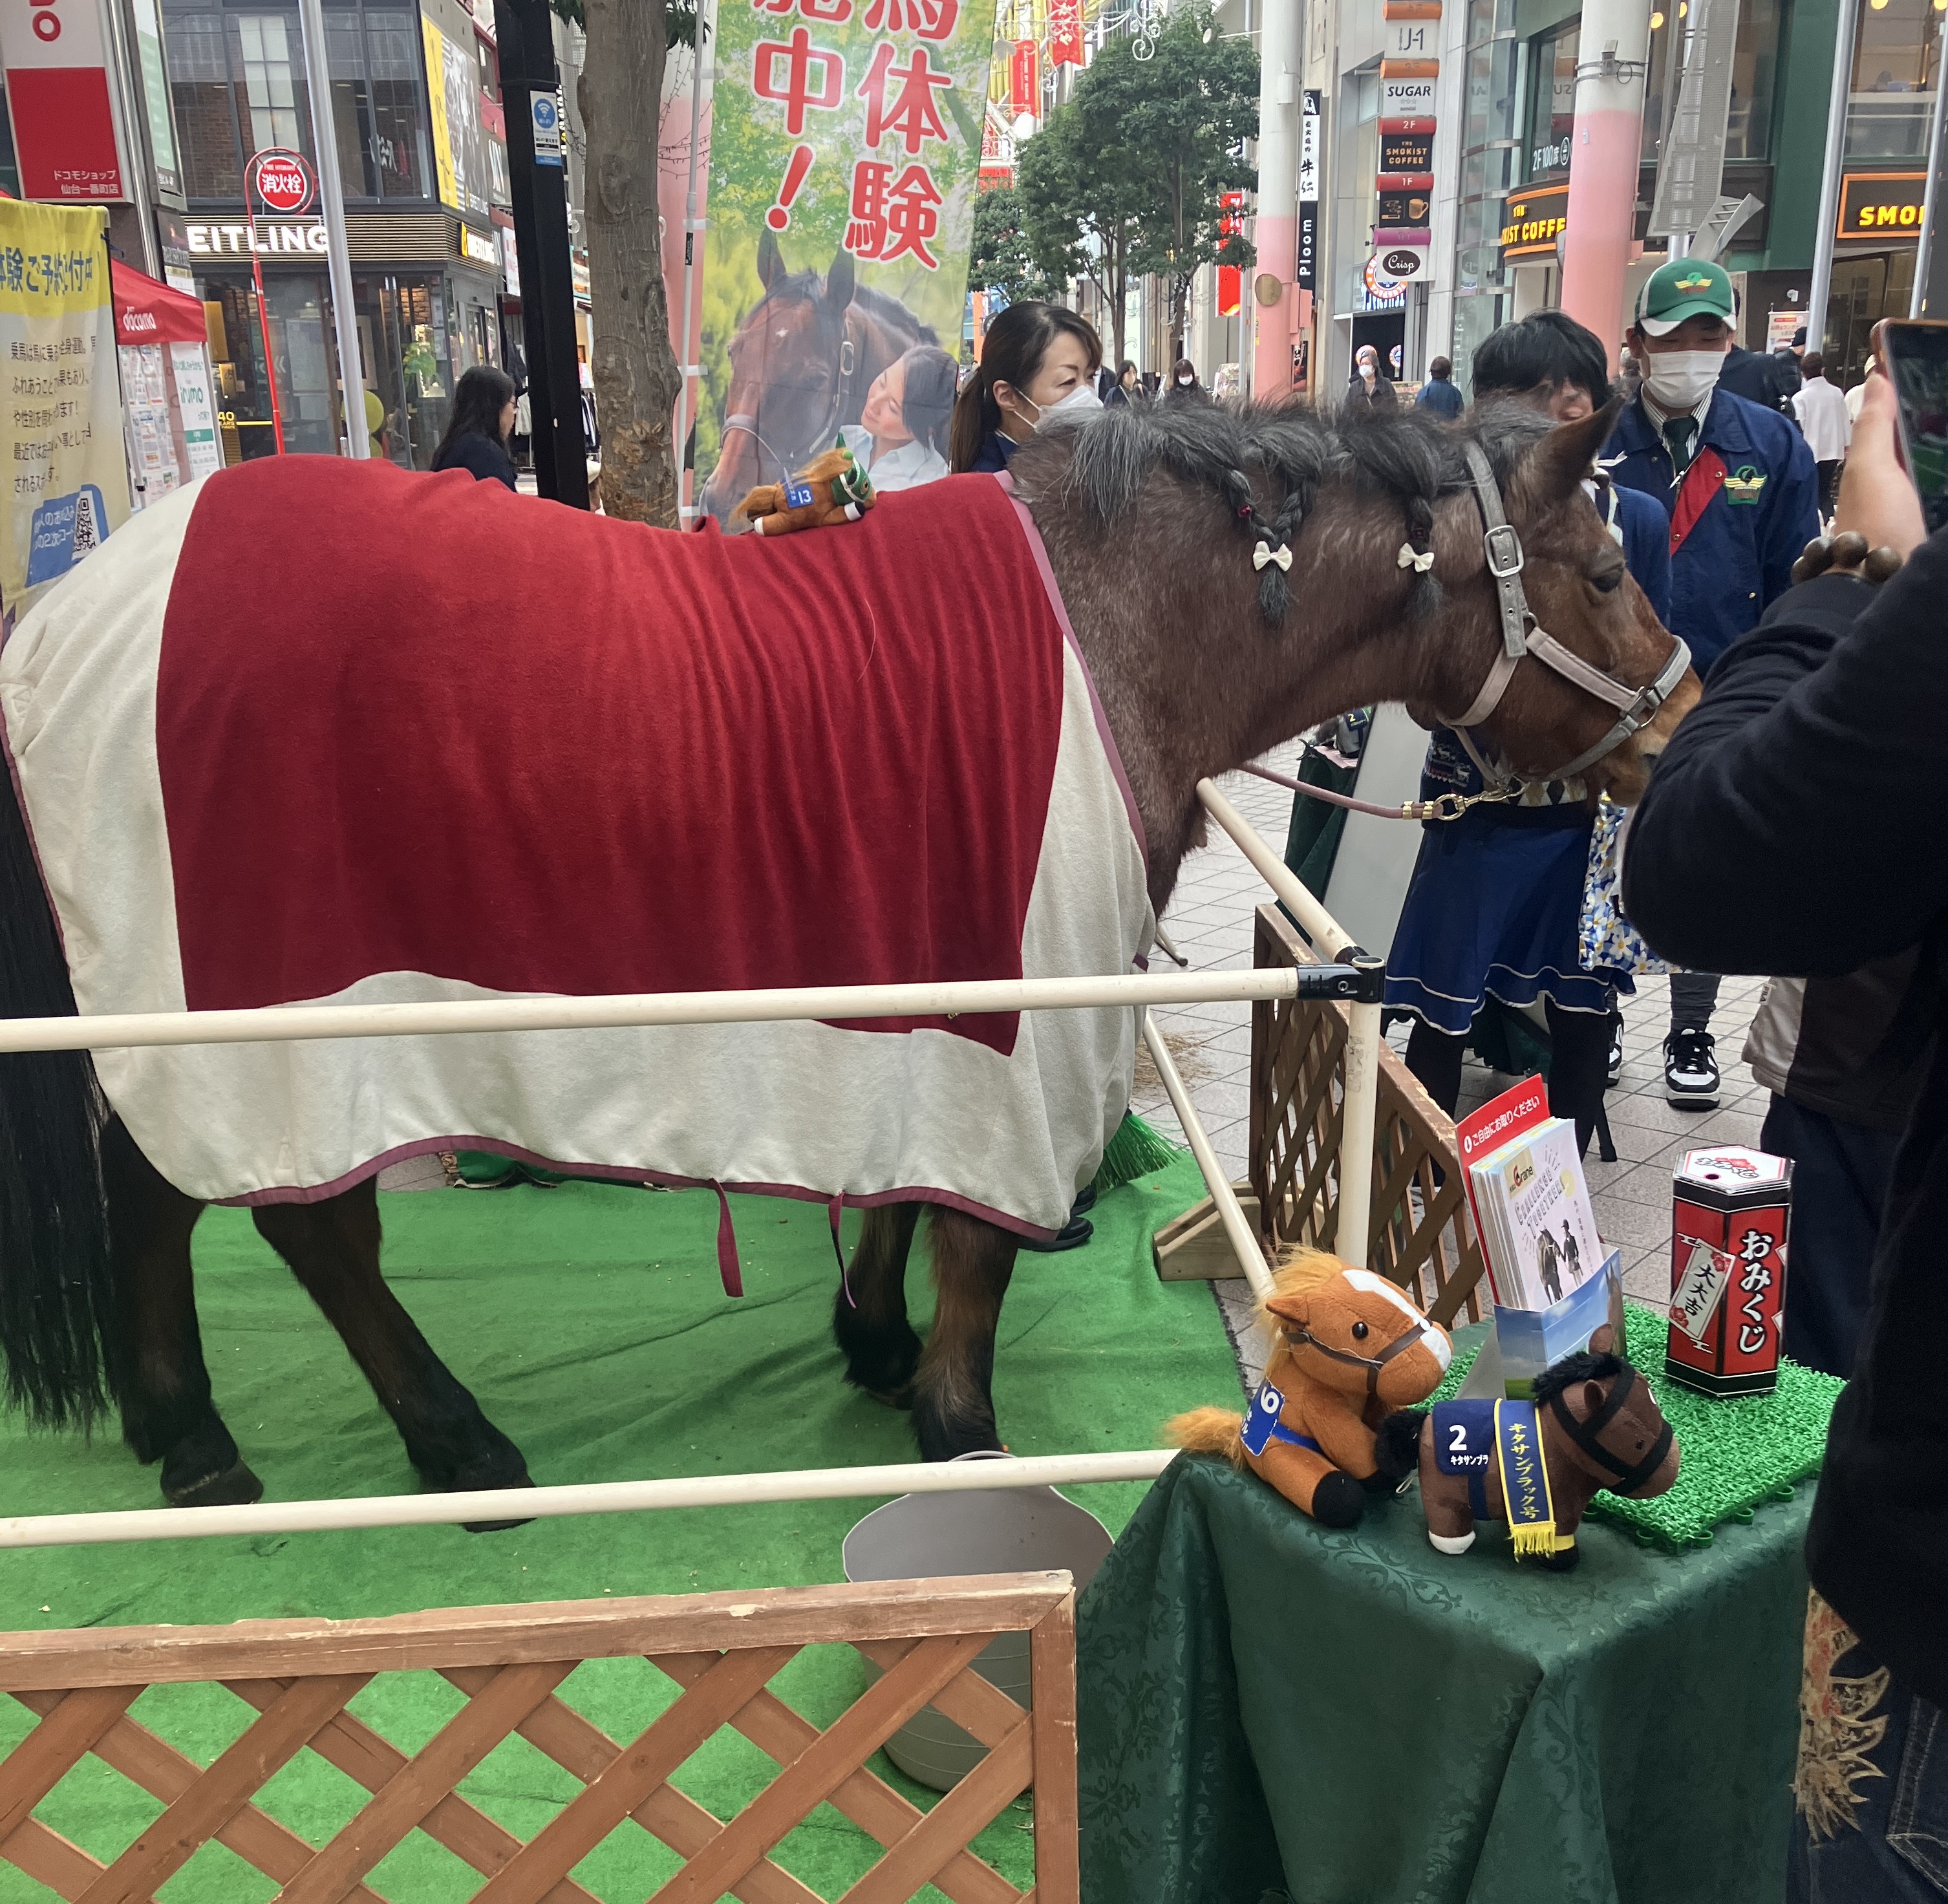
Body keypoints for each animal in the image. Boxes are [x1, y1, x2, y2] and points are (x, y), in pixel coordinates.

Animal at [0, 389, 1698, 1512]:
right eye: (1610, 568)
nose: (1679, 724)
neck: (1118, 626)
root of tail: (66, 616)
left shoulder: (928, 992)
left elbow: (905, 1189)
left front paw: (874, 1344)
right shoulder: (1024, 993)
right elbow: (978, 1240)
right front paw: (960, 1418)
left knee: (153, 1191)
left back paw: (183, 1429)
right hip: (272, 1028)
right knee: (310, 1228)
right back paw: (447, 1442)